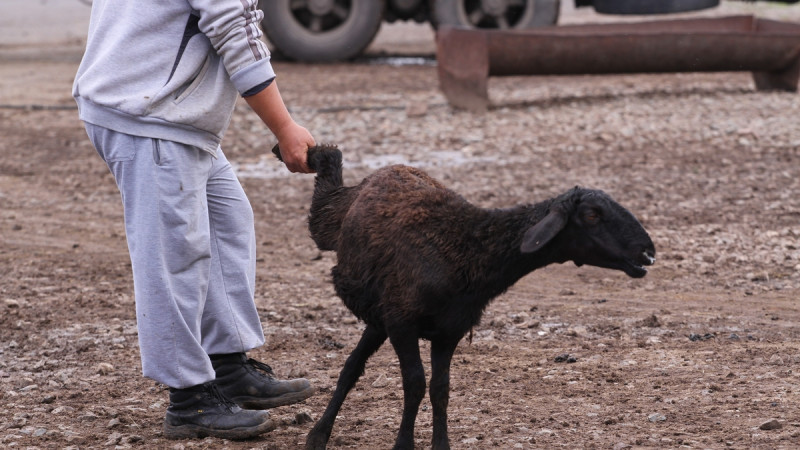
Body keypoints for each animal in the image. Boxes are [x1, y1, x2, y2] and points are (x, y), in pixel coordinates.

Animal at [272, 146, 652, 448]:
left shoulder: (448, 330)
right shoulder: (404, 324)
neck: (470, 248)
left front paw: (441, 445)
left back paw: (319, 434)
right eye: (592, 215)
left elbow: (440, 390)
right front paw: (403, 445)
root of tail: (383, 173)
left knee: (352, 366)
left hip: (381, 316)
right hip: (338, 237)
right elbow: (414, 385)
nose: (648, 252)